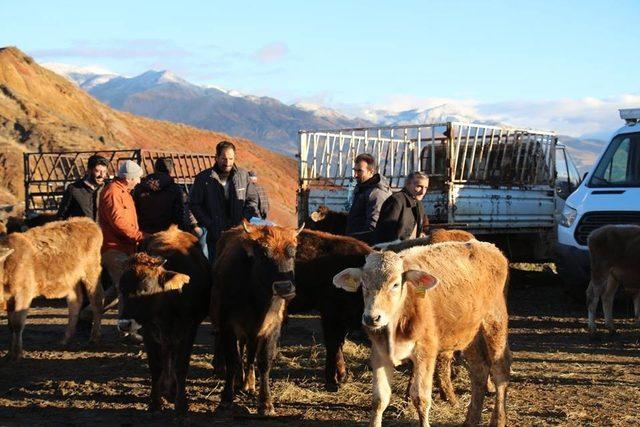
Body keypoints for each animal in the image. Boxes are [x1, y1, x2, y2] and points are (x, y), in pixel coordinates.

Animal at [0, 217, 102, 362]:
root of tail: (87, 221)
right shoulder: (9, 298)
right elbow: (10, 326)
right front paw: (9, 353)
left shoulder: (23, 294)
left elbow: (17, 324)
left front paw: (17, 354)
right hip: (70, 278)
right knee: (75, 302)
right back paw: (66, 339)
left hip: (91, 271)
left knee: (96, 301)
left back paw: (94, 338)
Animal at [116, 227, 211, 414]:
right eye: (121, 289)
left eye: (145, 288)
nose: (124, 324)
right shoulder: (147, 329)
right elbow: (156, 366)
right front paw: (155, 402)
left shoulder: (190, 327)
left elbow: (181, 365)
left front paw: (181, 403)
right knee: (167, 353)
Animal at [214, 222, 304, 416]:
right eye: (263, 254)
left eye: (292, 253)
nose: (284, 287)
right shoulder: (228, 325)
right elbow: (232, 360)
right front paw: (226, 399)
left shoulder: (271, 327)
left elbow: (263, 361)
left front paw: (266, 403)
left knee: (249, 354)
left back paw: (248, 383)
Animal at [336, 242, 510, 426]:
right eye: (363, 284)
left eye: (396, 284)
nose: (372, 317)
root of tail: (489, 247)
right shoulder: (379, 353)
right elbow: (379, 399)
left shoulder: (425, 352)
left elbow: (421, 398)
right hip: (470, 334)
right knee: (479, 370)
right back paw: (471, 420)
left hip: (495, 322)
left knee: (500, 371)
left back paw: (498, 420)